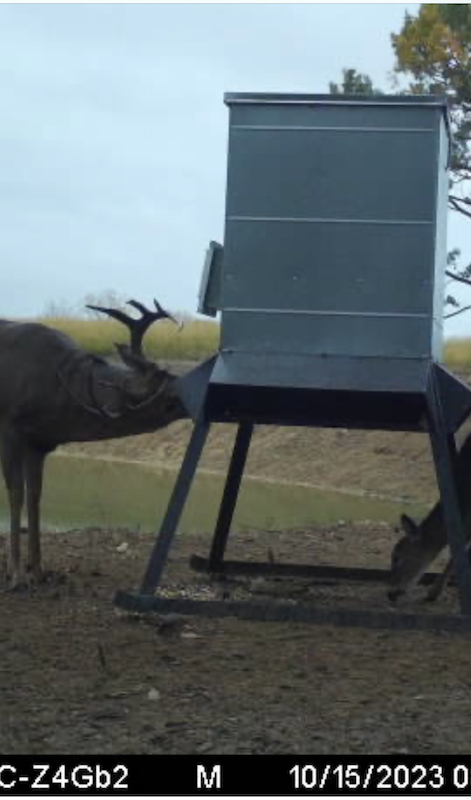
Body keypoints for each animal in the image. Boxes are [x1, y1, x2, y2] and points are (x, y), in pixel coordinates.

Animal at [0, 298, 188, 589]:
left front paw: (39, 571)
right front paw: (16, 574)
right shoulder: (9, 427)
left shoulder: (38, 444)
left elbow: (35, 497)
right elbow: (16, 494)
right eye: (168, 398)